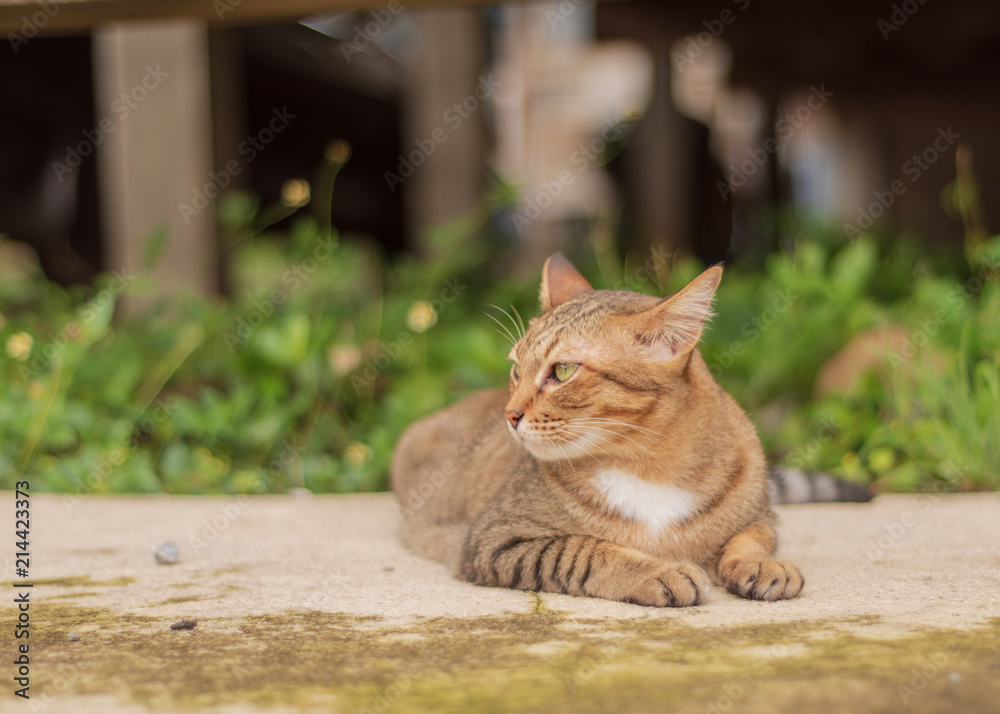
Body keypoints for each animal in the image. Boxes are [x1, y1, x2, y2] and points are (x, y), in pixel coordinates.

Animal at [390, 253, 868, 604]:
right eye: (515, 369)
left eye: (563, 370)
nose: (509, 415)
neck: (648, 464)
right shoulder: (494, 538)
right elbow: (580, 550)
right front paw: (657, 570)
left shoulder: (760, 511)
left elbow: (753, 537)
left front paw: (762, 564)